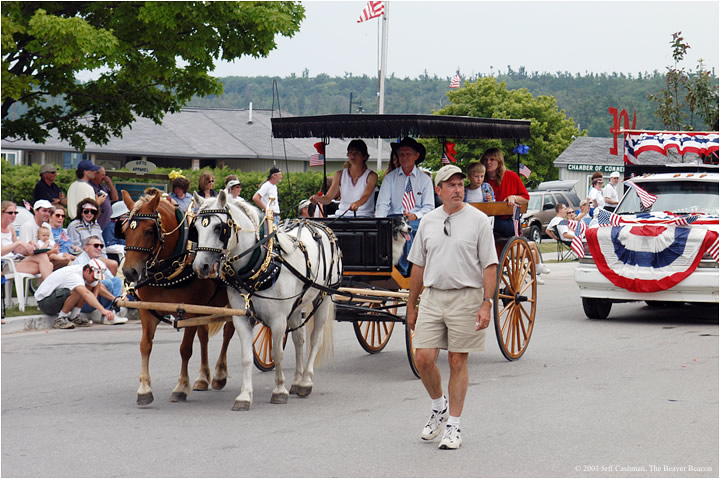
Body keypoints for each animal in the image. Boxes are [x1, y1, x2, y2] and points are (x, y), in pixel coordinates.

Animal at [122, 189, 235, 406]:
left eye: (149, 231)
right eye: (124, 230)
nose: (129, 272)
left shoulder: (190, 311)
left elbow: (185, 349)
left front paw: (181, 387)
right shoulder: (148, 310)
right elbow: (145, 346)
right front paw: (144, 389)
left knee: (229, 332)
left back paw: (219, 375)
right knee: (204, 336)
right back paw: (203, 378)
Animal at [191, 192, 344, 412]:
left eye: (219, 228)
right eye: (195, 229)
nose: (200, 266)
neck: (260, 264)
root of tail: (318, 225)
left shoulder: (278, 320)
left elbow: (277, 353)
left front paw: (279, 390)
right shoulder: (242, 319)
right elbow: (247, 357)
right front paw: (245, 396)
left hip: (323, 298)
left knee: (315, 338)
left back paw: (306, 381)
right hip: (296, 307)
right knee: (299, 340)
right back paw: (297, 381)